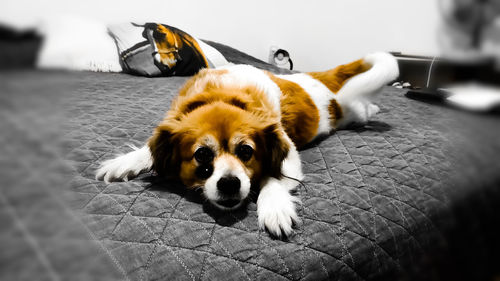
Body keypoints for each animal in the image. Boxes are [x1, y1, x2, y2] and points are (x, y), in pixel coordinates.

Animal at [94, 52, 398, 236]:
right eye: (202, 155)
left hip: (348, 111)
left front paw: (275, 207)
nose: (229, 183)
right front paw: (126, 161)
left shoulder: (287, 152)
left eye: (246, 151)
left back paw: (372, 109)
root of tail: (311, 77)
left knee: (359, 107)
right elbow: (150, 147)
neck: (223, 95)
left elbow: (272, 178)